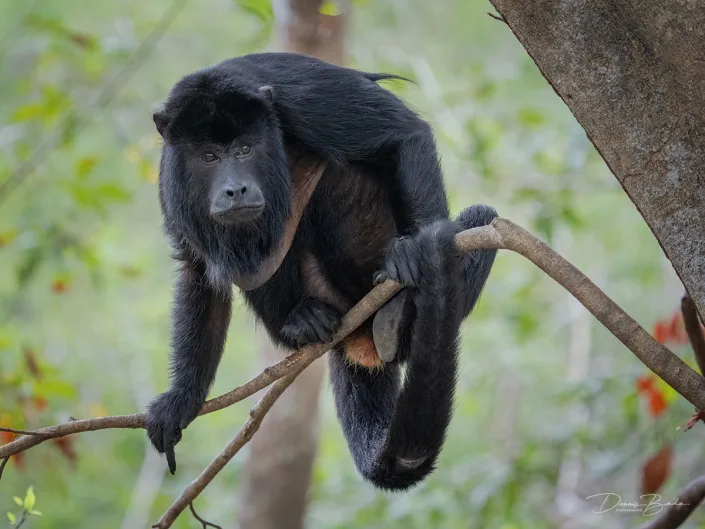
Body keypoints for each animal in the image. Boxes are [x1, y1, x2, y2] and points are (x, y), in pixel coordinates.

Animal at [147, 52, 497, 490]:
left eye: (245, 149)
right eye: (209, 156)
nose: (235, 189)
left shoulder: (301, 95)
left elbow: (404, 134)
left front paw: (421, 249)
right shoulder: (171, 179)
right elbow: (198, 273)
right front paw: (181, 400)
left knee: (475, 215)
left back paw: (400, 314)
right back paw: (303, 322)